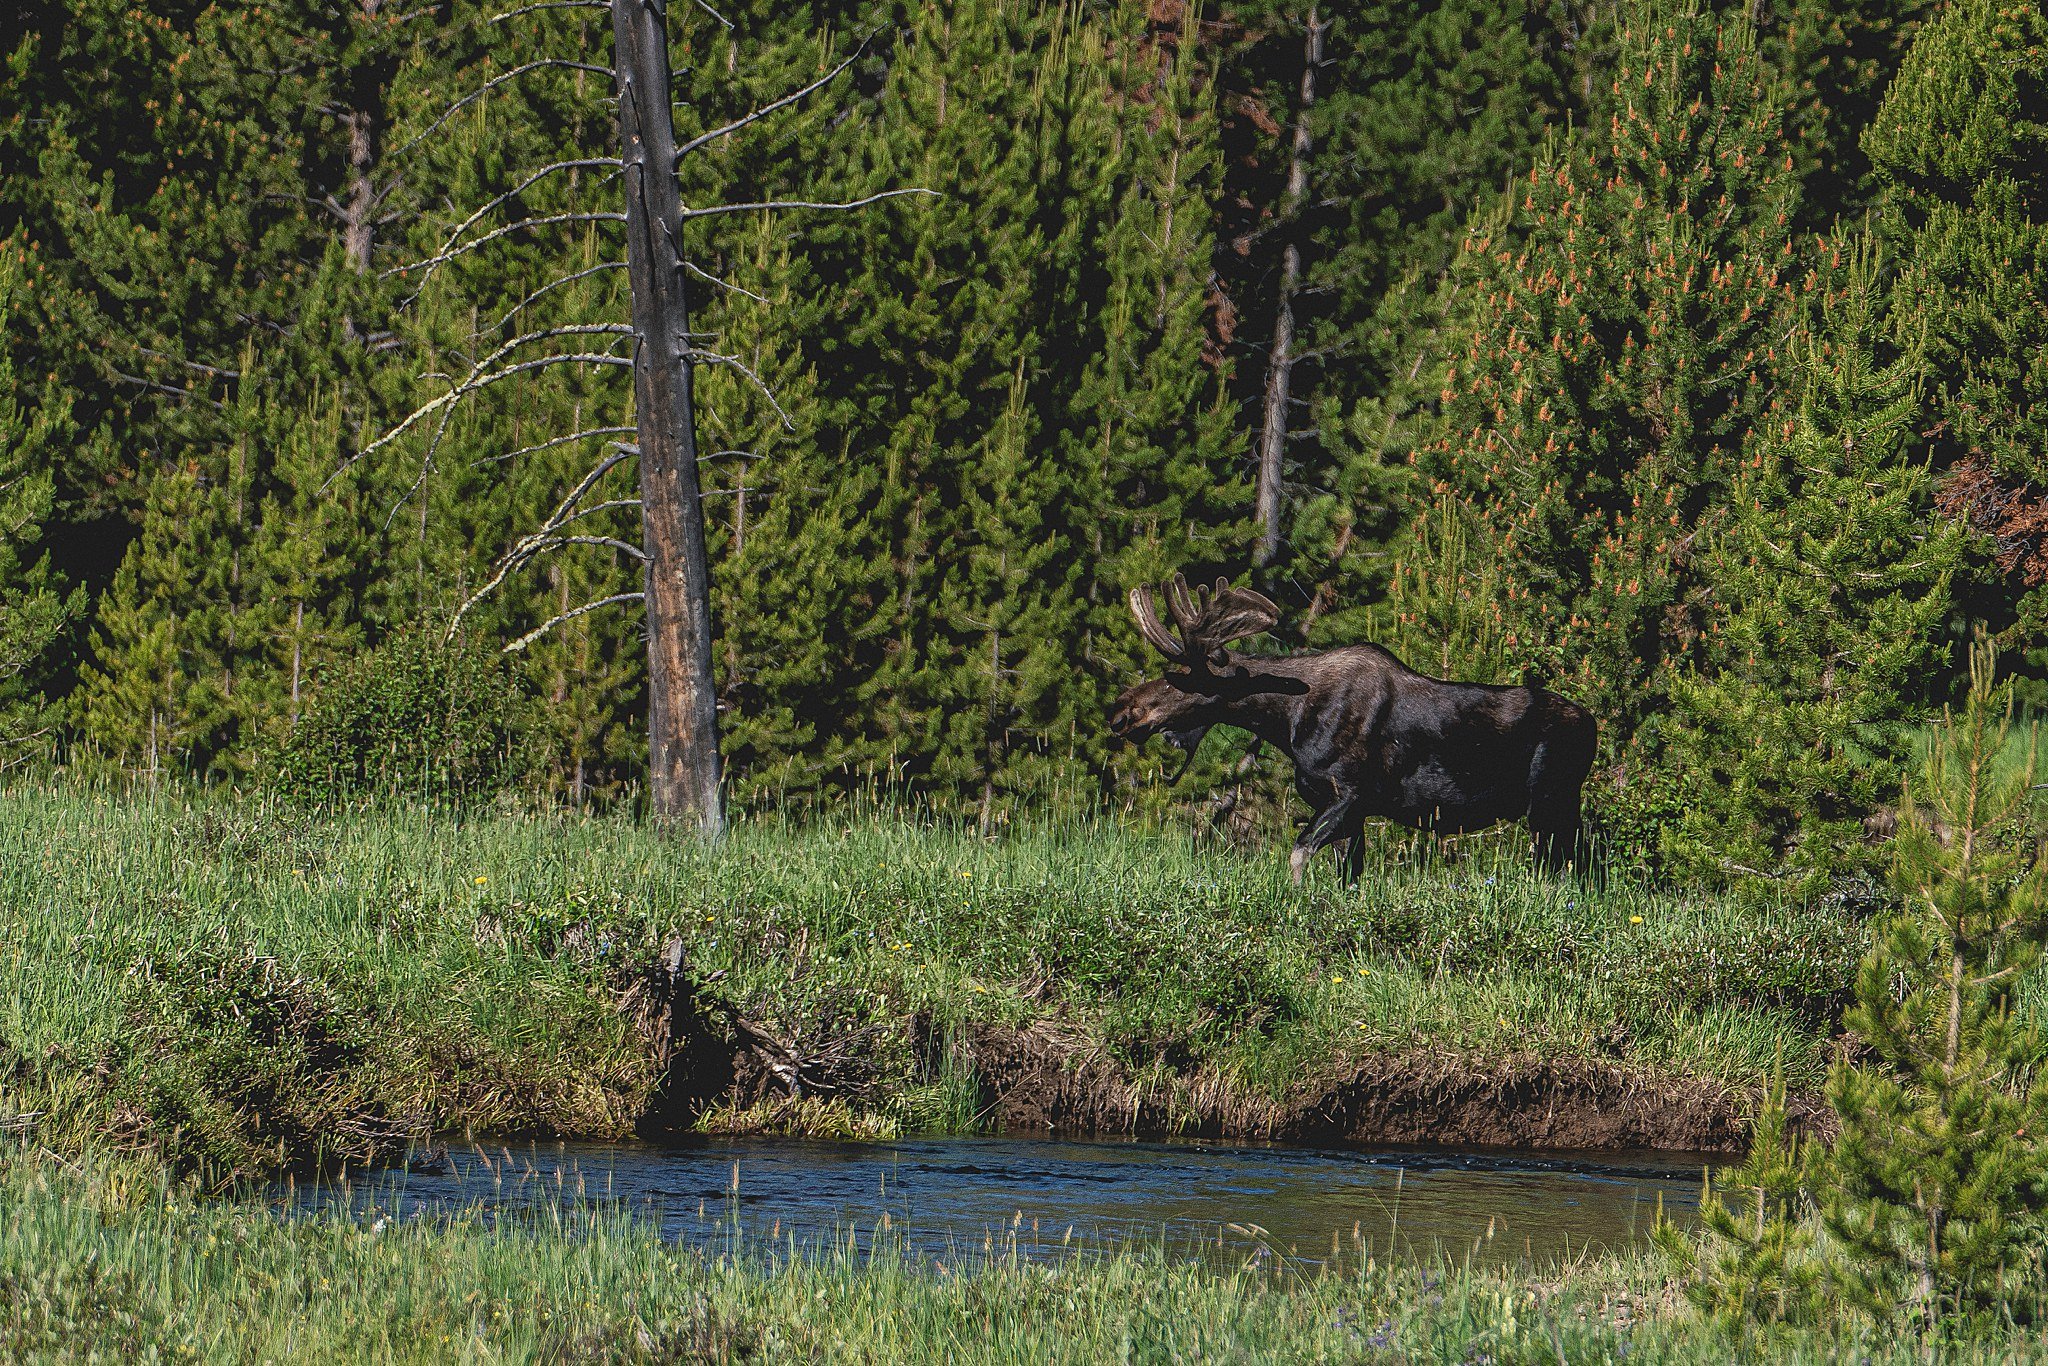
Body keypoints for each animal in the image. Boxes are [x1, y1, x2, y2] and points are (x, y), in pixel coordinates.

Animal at [1105, 573, 1597, 876]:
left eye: (1183, 680)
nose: (1121, 712)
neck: (1288, 723)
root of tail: (1593, 726)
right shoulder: (1350, 811)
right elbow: (1346, 875)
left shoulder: (1350, 793)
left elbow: (1298, 853)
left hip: (1549, 800)